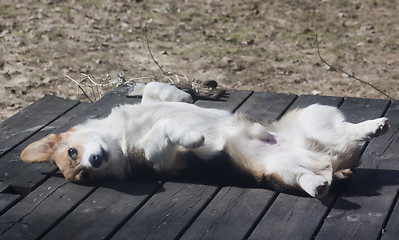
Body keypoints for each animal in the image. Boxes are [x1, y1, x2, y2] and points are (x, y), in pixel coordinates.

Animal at [20, 81, 390, 198]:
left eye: (73, 151)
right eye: (83, 174)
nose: (94, 161)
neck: (120, 140)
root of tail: (333, 163)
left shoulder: (150, 101)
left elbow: (155, 91)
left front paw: (183, 94)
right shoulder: (160, 159)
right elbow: (162, 130)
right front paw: (194, 136)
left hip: (315, 116)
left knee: (345, 134)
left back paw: (372, 127)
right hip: (281, 169)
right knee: (306, 177)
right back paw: (319, 183)